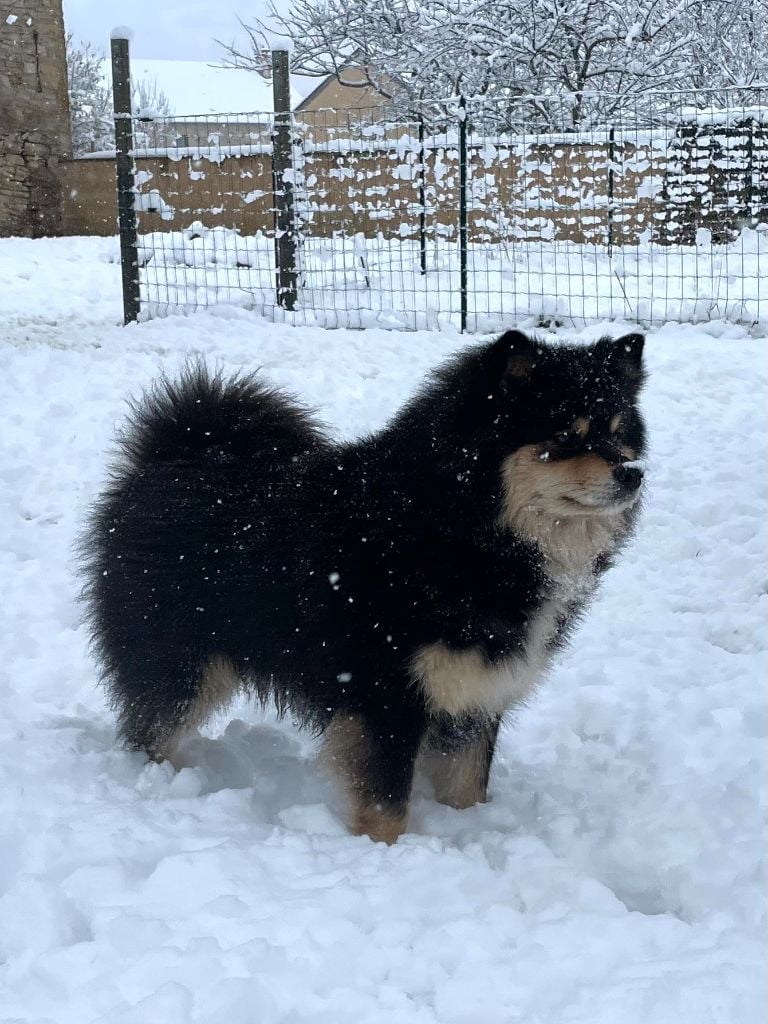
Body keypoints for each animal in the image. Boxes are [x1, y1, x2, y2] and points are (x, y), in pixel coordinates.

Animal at [81, 331, 647, 843]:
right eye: (566, 436)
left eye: (619, 433)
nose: (633, 473)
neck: (457, 529)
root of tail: (172, 455)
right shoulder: (386, 700)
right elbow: (387, 808)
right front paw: (385, 857)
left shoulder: (475, 695)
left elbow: (467, 790)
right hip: (181, 663)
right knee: (151, 728)